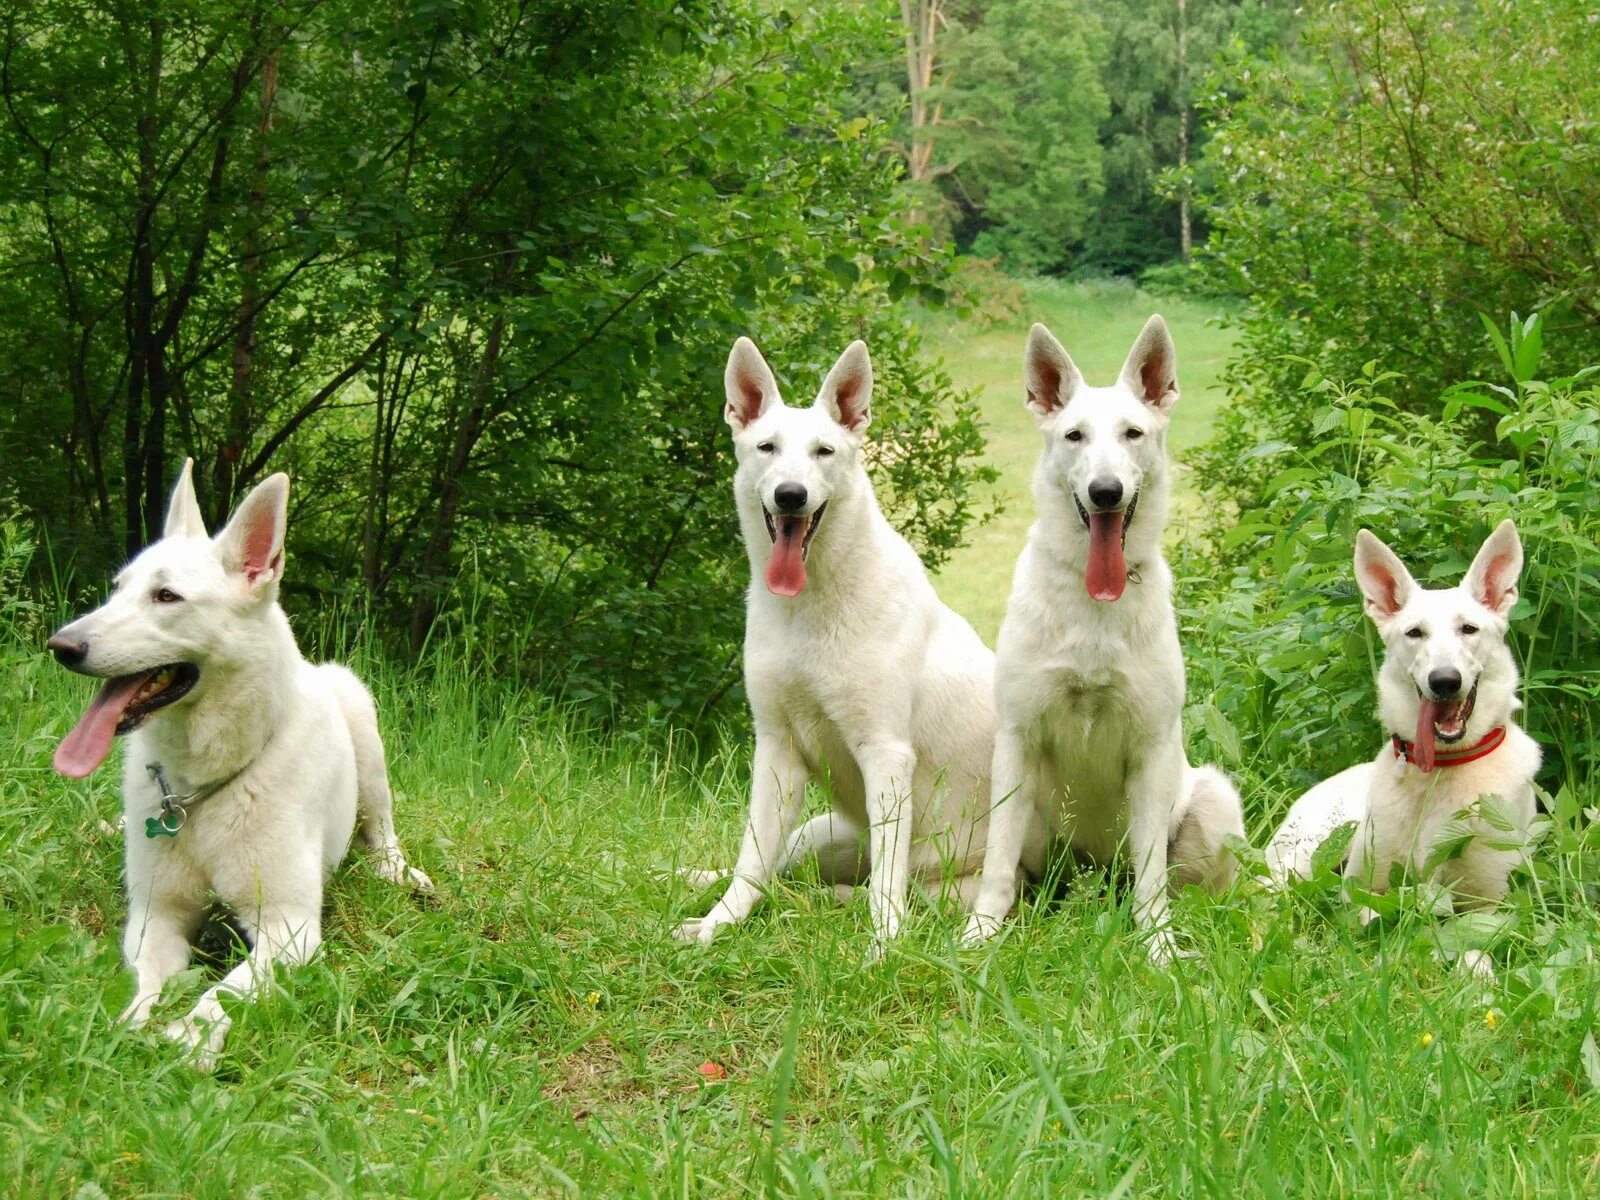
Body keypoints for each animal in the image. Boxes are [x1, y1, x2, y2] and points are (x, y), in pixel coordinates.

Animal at [47, 464, 432, 1068]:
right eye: (118, 589)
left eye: (166, 596)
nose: (60, 645)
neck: (199, 789)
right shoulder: (156, 915)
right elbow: (147, 981)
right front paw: (131, 1024)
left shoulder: (288, 929)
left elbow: (222, 990)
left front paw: (191, 1035)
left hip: (362, 724)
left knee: (382, 828)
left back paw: (398, 870)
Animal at [668, 339, 992, 960]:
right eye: (766, 447)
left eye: (824, 451)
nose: (790, 496)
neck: (813, 606)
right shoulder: (777, 750)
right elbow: (749, 861)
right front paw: (719, 925)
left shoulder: (885, 754)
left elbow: (885, 887)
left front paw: (884, 949)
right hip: (818, 835)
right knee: (772, 870)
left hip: (948, 885)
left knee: (882, 884)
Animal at [953, 315, 1241, 966]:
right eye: (1074, 436)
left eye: (1133, 433)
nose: (1106, 492)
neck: (1093, 610)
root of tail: (1093, 877)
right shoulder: (1017, 740)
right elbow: (998, 864)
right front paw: (981, 934)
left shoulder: (1151, 750)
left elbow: (1152, 875)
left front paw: (1158, 948)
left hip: (1214, 799)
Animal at [1260, 518, 1536, 979]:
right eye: (1414, 633)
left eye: (1469, 629)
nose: (1445, 681)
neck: (1441, 771)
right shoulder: (1363, 889)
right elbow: (1373, 918)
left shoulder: (1490, 902)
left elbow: (1475, 944)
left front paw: (1473, 975)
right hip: (1304, 854)